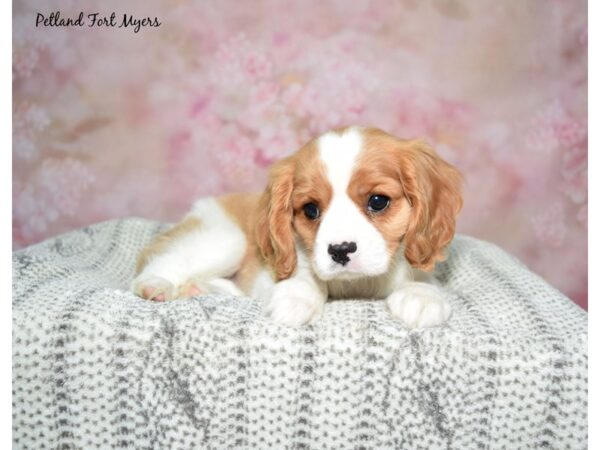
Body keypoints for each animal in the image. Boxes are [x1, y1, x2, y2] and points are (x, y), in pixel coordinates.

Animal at [131, 125, 462, 326]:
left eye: (378, 201)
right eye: (311, 210)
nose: (341, 250)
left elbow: (421, 278)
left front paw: (420, 296)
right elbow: (304, 276)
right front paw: (297, 297)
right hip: (225, 240)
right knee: (155, 268)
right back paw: (157, 286)